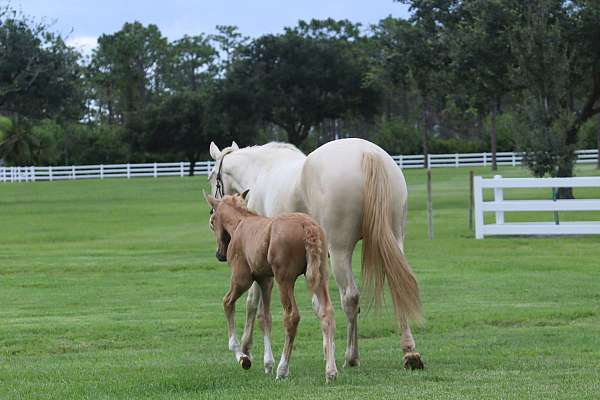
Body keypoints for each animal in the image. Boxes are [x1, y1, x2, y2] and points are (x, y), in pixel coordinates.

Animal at [206, 192, 338, 382]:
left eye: (212, 221)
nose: (219, 254)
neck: (241, 223)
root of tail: (308, 226)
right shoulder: (265, 280)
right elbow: (264, 317)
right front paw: (267, 363)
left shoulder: (242, 278)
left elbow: (227, 303)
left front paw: (242, 356)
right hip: (320, 275)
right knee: (326, 312)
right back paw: (330, 371)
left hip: (284, 279)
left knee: (291, 317)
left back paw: (283, 369)